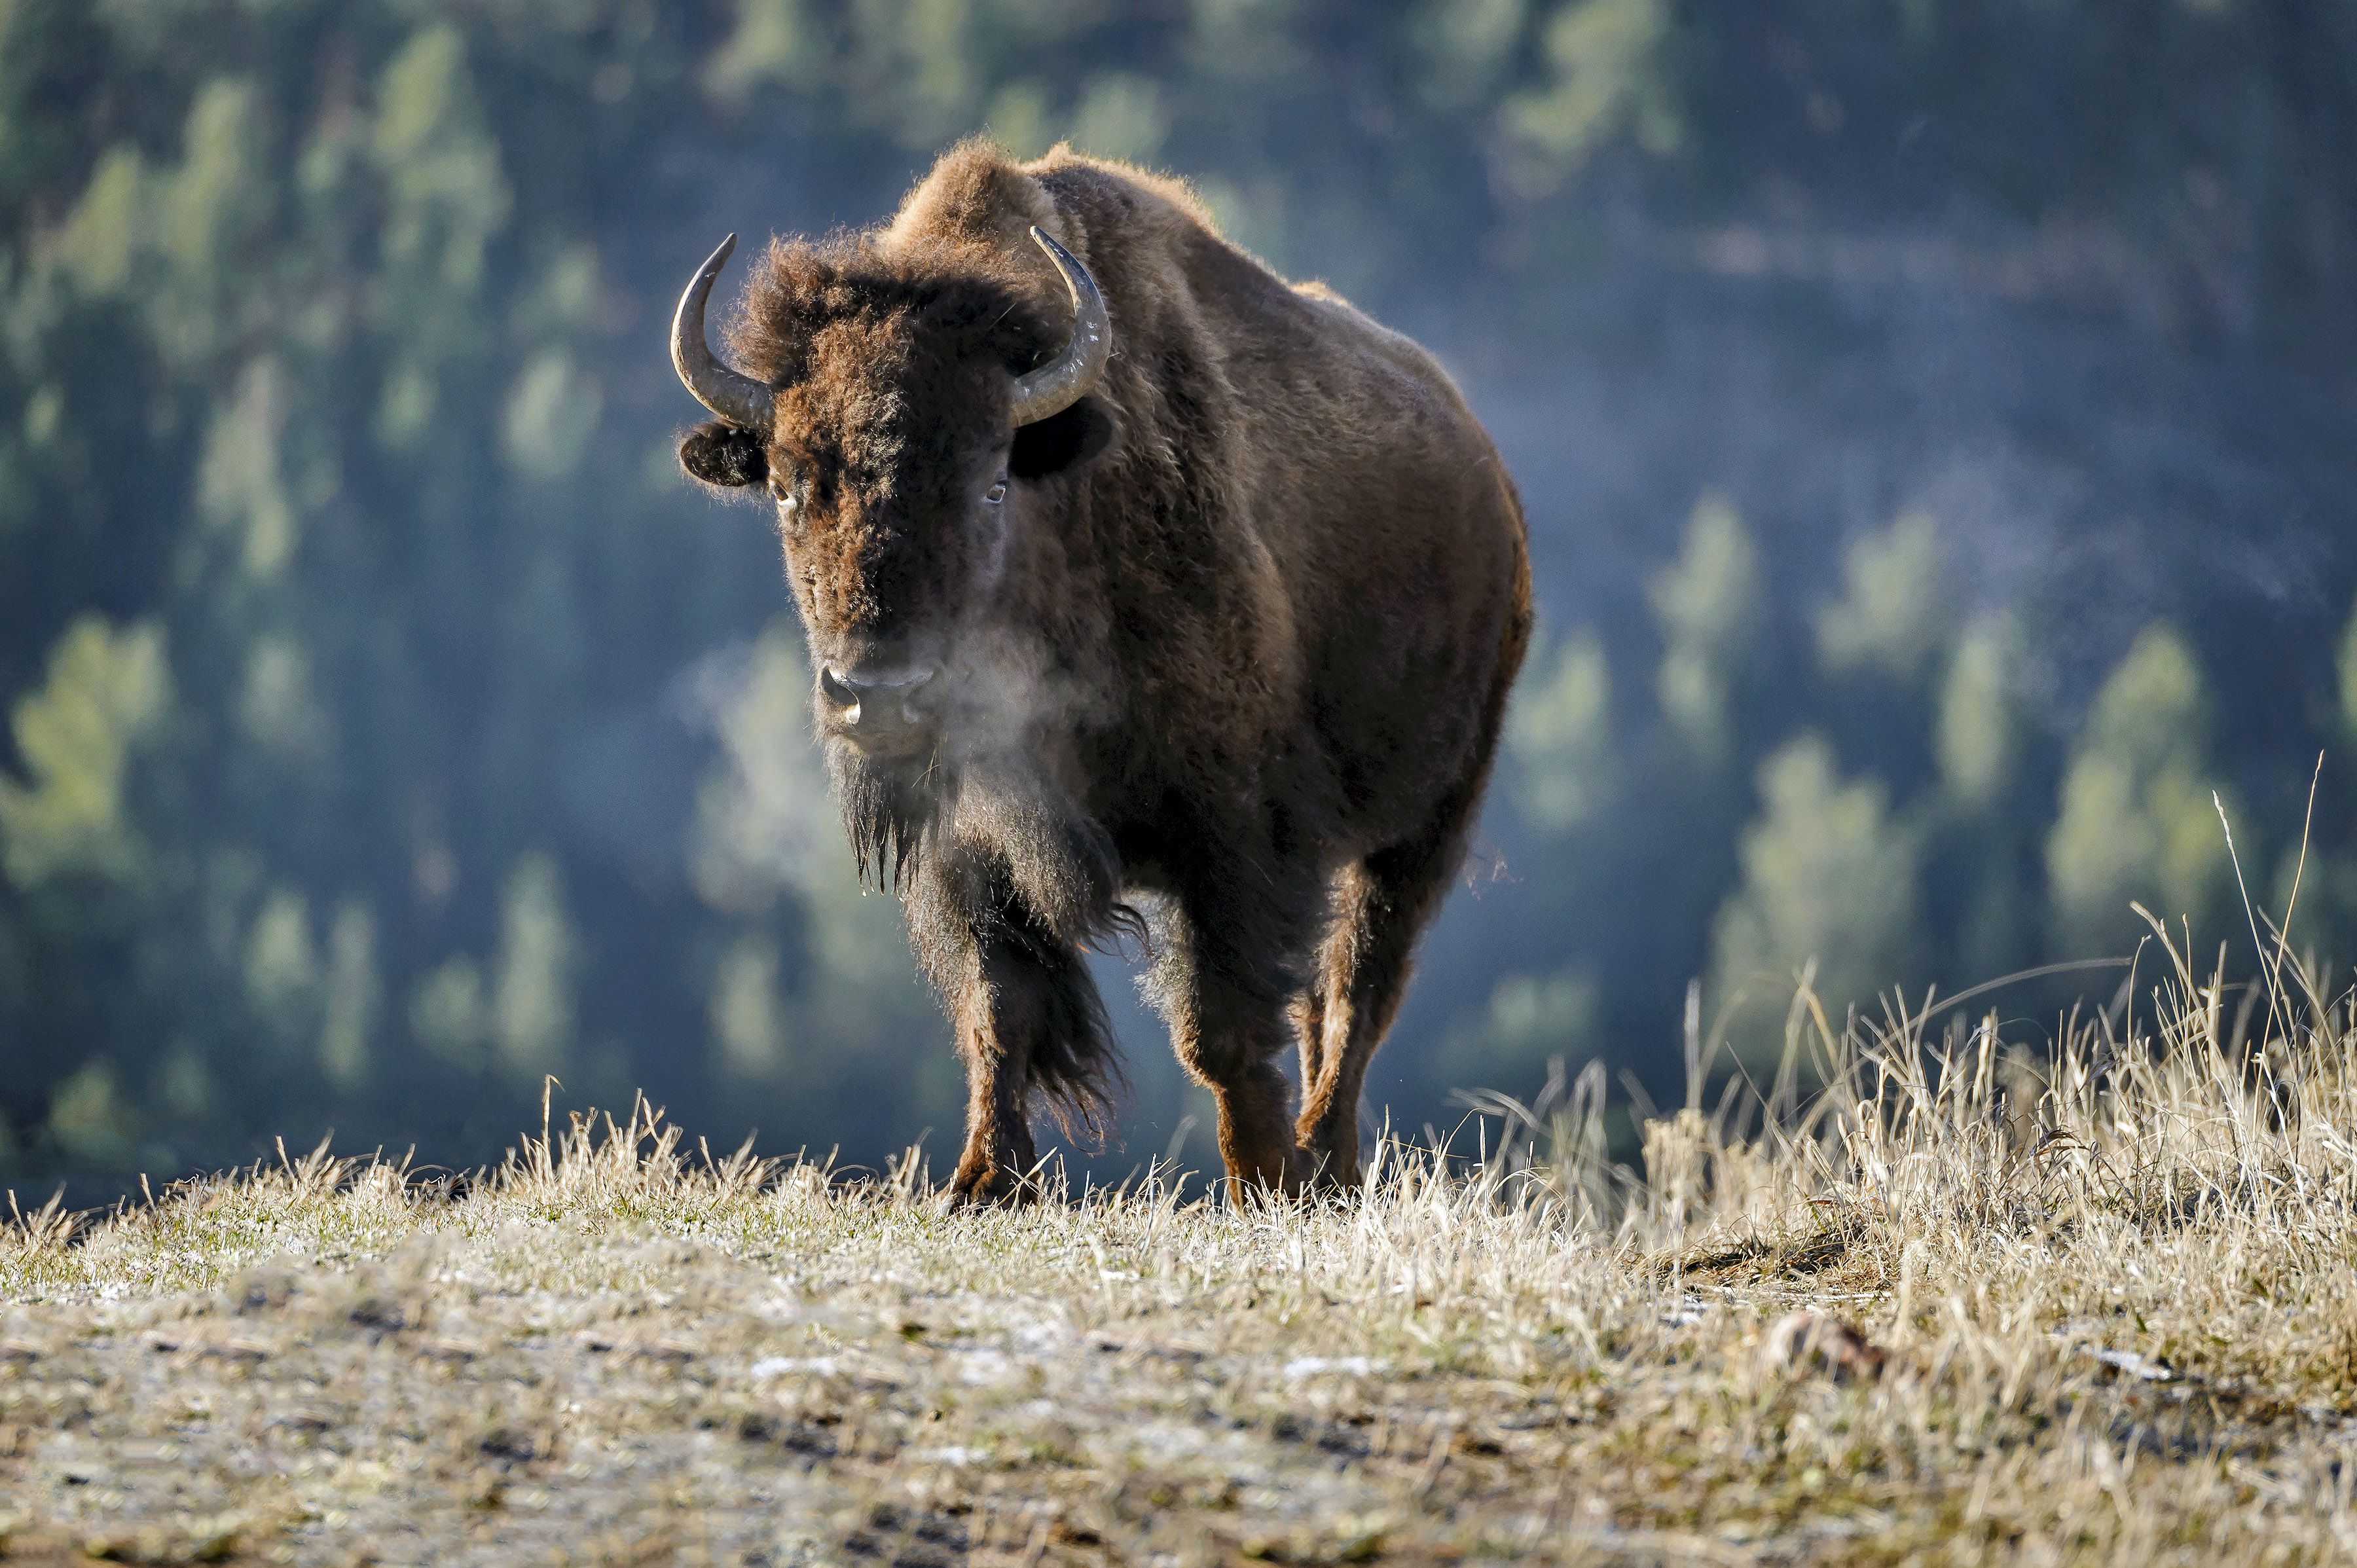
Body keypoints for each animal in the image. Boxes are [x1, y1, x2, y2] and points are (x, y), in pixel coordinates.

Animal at [674, 147, 1537, 1197]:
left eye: (992, 480)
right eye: (792, 485)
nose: (878, 696)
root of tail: (1486, 475)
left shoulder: (1236, 834)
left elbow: (1220, 1028)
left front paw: (1263, 1181)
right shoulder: (971, 847)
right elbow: (999, 1006)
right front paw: (984, 1182)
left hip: (1426, 821)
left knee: (1359, 990)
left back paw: (1325, 1165)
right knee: (1327, 998)